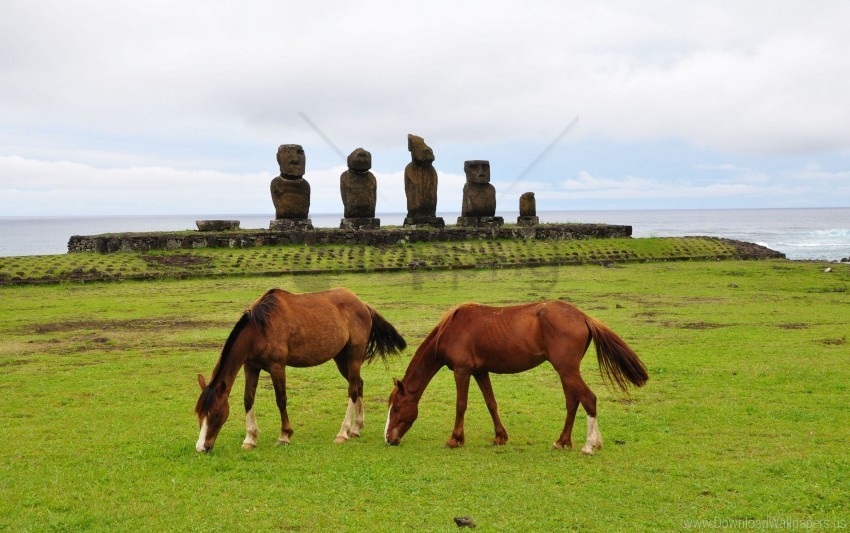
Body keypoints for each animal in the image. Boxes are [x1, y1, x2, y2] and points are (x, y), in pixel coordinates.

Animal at [194, 288, 406, 450]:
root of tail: (362, 304)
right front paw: (250, 438)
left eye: (216, 414)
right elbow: (248, 399)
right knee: (359, 384)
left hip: (353, 356)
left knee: (353, 390)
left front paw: (285, 435)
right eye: (199, 413)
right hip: (341, 359)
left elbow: (281, 400)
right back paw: (356, 427)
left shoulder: (277, 367)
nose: (201, 447)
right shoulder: (251, 367)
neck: (259, 328)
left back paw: (343, 432)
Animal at [380, 300, 644, 454]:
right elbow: (491, 403)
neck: (451, 329)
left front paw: (455, 439)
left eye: (397, 408)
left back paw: (590, 445)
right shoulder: (480, 371)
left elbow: (461, 405)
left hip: (567, 370)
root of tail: (583, 317)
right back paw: (562, 441)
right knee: (572, 402)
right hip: (566, 371)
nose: (389, 439)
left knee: (588, 399)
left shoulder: (462, 371)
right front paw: (500, 436)